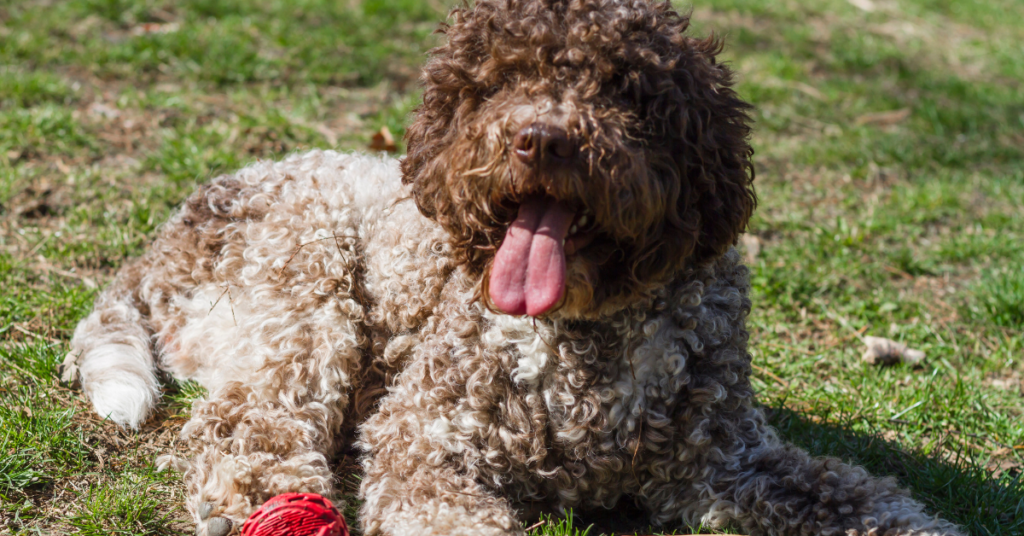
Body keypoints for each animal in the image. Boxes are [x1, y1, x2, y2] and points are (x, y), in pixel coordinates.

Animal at [68, 1, 962, 536]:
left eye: (623, 87)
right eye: (499, 83)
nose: (540, 139)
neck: (585, 334)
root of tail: (163, 237)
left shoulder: (726, 461)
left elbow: (859, 495)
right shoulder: (425, 440)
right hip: (309, 284)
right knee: (244, 428)